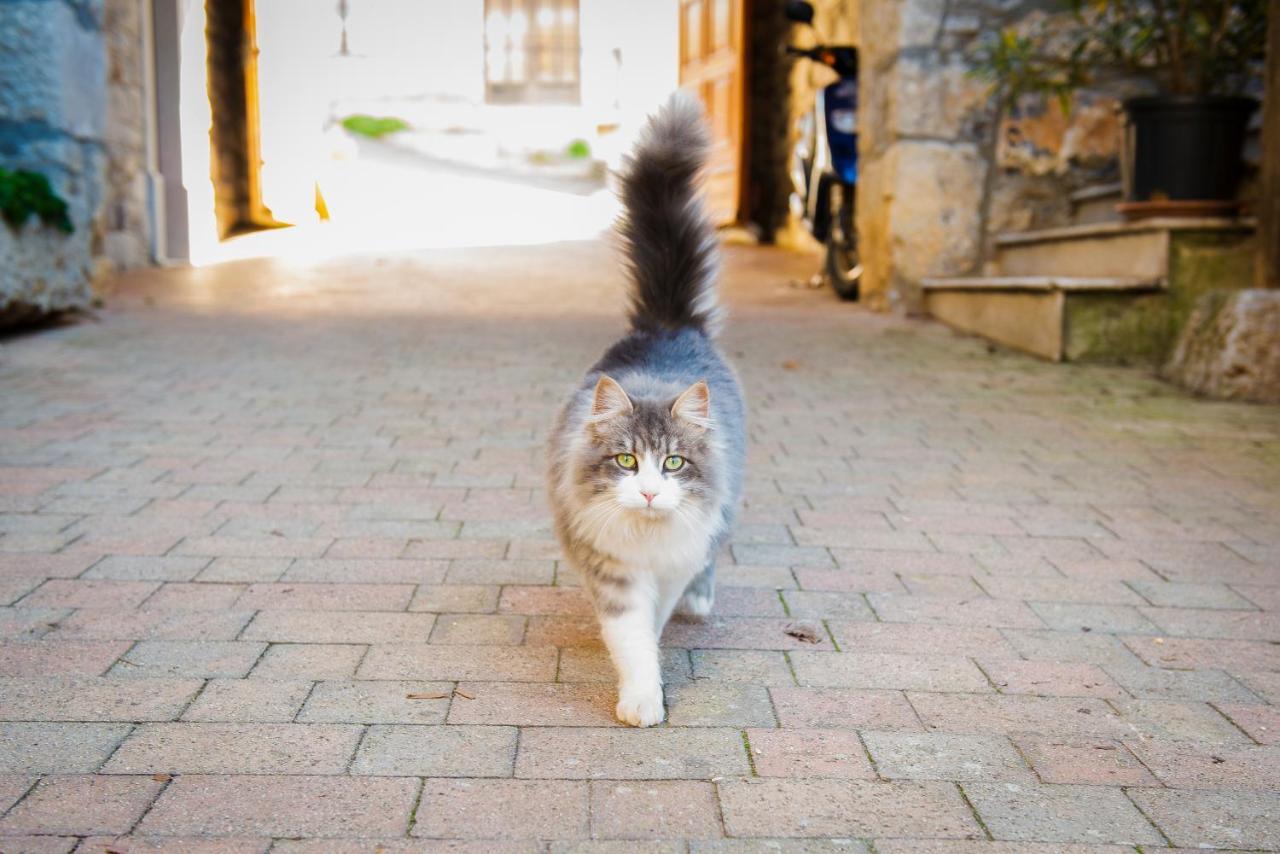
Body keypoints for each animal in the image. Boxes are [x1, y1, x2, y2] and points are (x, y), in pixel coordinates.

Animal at [545, 95, 747, 727]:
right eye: (628, 462)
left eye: (675, 463)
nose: (653, 492)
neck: (647, 538)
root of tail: (665, 324)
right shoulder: (613, 573)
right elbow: (632, 639)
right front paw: (640, 698)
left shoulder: (673, 563)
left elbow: (654, 624)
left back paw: (701, 604)